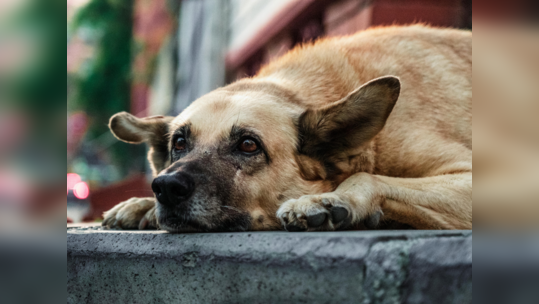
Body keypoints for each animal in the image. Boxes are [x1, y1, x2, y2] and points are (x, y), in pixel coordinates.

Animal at [102, 25, 472, 232]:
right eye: (179, 143)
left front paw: (330, 199)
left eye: (248, 145)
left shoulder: (467, 176)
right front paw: (141, 205)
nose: (165, 187)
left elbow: (366, 177)